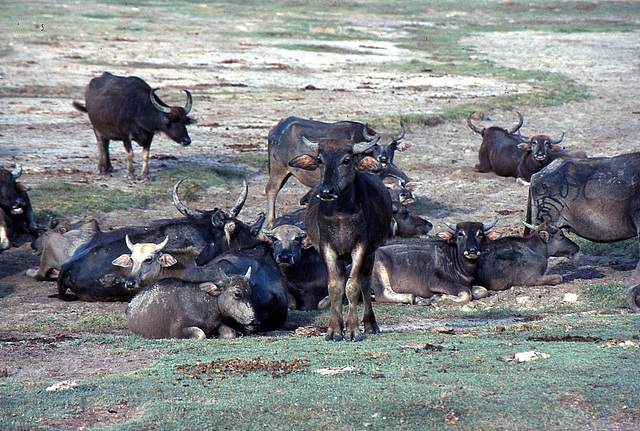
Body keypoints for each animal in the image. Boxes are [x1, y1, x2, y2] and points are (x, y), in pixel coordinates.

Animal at [125, 270, 258, 340]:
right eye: (237, 293)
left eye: (250, 293)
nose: (255, 322)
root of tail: (130, 305)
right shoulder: (177, 330)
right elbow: (201, 334)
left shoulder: (216, 324)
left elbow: (230, 332)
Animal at [264, 115, 410, 230]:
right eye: (376, 145)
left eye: (392, 144)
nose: (384, 158)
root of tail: (276, 130)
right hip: (278, 170)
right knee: (271, 190)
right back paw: (270, 222)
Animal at [288, 138, 392, 340]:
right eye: (320, 160)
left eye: (346, 160)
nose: (326, 191)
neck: (341, 215)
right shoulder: (327, 248)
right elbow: (335, 287)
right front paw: (335, 330)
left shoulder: (361, 247)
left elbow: (353, 286)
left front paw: (353, 330)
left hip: (371, 254)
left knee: (366, 283)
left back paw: (370, 325)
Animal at [370, 221, 500, 306]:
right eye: (460, 233)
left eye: (480, 233)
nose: (472, 250)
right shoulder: (436, 281)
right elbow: (467, 293)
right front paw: (439, 297)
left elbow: (482, 290)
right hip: (380, 270)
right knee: (383, 294)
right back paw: (416, 298)